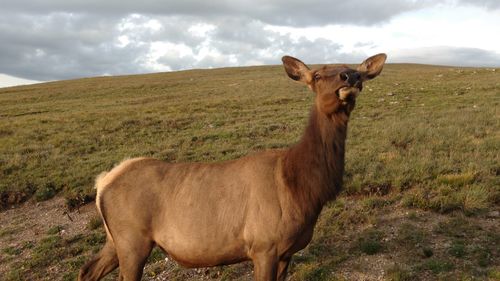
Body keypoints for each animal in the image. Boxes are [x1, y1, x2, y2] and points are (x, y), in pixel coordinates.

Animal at [79, 53, 386, 280]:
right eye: (318, 75)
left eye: (355, 69)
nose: (352, 76)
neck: (304, 190)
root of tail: (103, 181)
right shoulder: (264, 245)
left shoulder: (287, 252)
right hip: (132, 239)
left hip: (116, 239)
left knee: (87, 270)